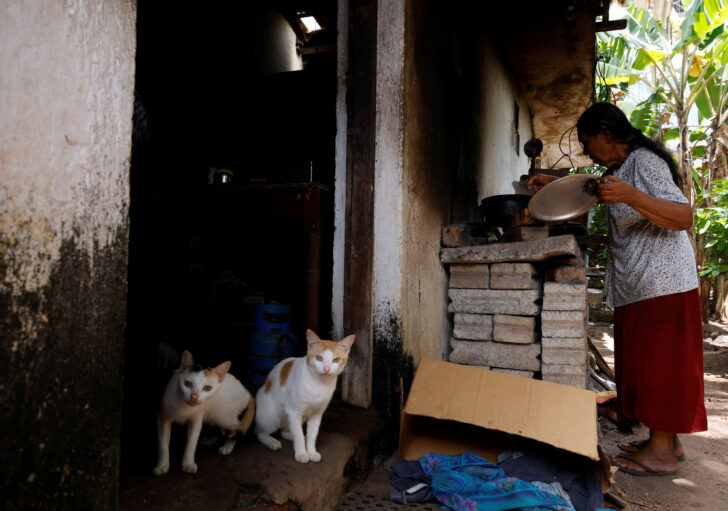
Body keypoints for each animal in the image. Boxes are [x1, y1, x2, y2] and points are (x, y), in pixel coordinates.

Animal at [256, 330, 356, 466]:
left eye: (336, 360)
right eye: (319, 358)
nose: (327, 369)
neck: (319, 385)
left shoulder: (317, 414)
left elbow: (312, 435)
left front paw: (311, 452)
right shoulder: (294, 412)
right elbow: (297, 435)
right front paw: (301, 454)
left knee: (285, 431)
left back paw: (301, 437)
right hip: (271, 415)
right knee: (260, 433)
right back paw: (272, 441)